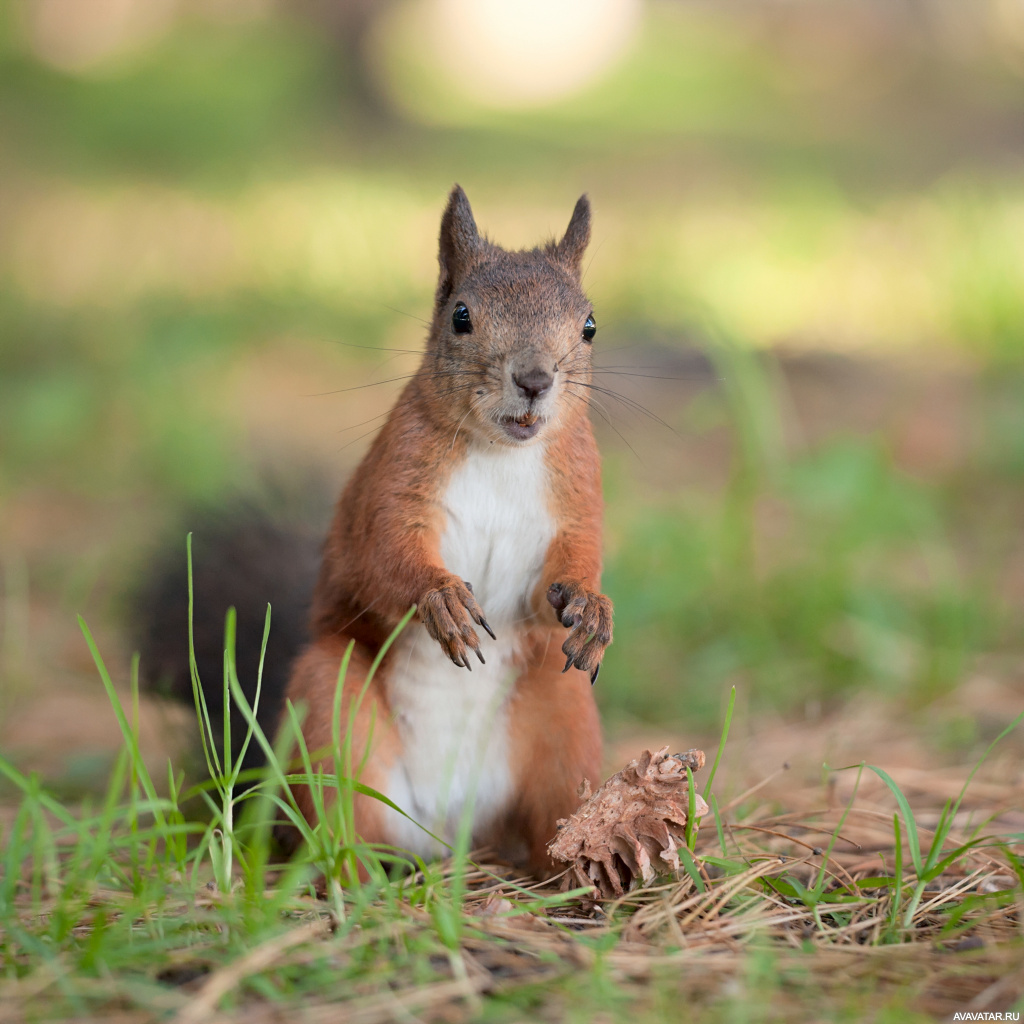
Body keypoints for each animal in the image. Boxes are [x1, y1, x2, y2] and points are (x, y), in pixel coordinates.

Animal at [139, 188, 610, 876]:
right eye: (461, 317)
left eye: (589, 325)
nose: (534, 380)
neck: (501, 454)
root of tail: (446, 837)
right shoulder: (390, 487)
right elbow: (383, 557)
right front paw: (440, 598)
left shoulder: (577, 495)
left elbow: (574, 561)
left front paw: (592, 606)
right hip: (332, 711)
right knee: (339, 822)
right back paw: (348, 873)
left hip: (563, 715)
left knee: (555, 811)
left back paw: (593, 869)